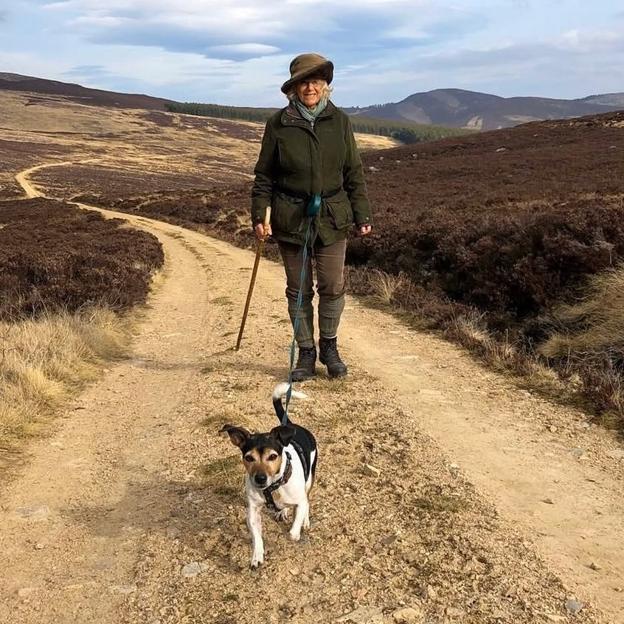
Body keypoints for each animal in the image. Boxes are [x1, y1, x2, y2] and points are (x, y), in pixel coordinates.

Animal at [221, 380, 316, 572]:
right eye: (249, 457)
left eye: (272, 456)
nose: (260, 478)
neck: (273, 487)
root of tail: (293, 426)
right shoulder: (253, 511)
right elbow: (256, 537)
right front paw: (257, 556)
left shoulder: (300, 500)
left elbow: (293, 530)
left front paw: (296, 531)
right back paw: (283, 511)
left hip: (309, 479)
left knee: (308, 500)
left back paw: (305, 521)